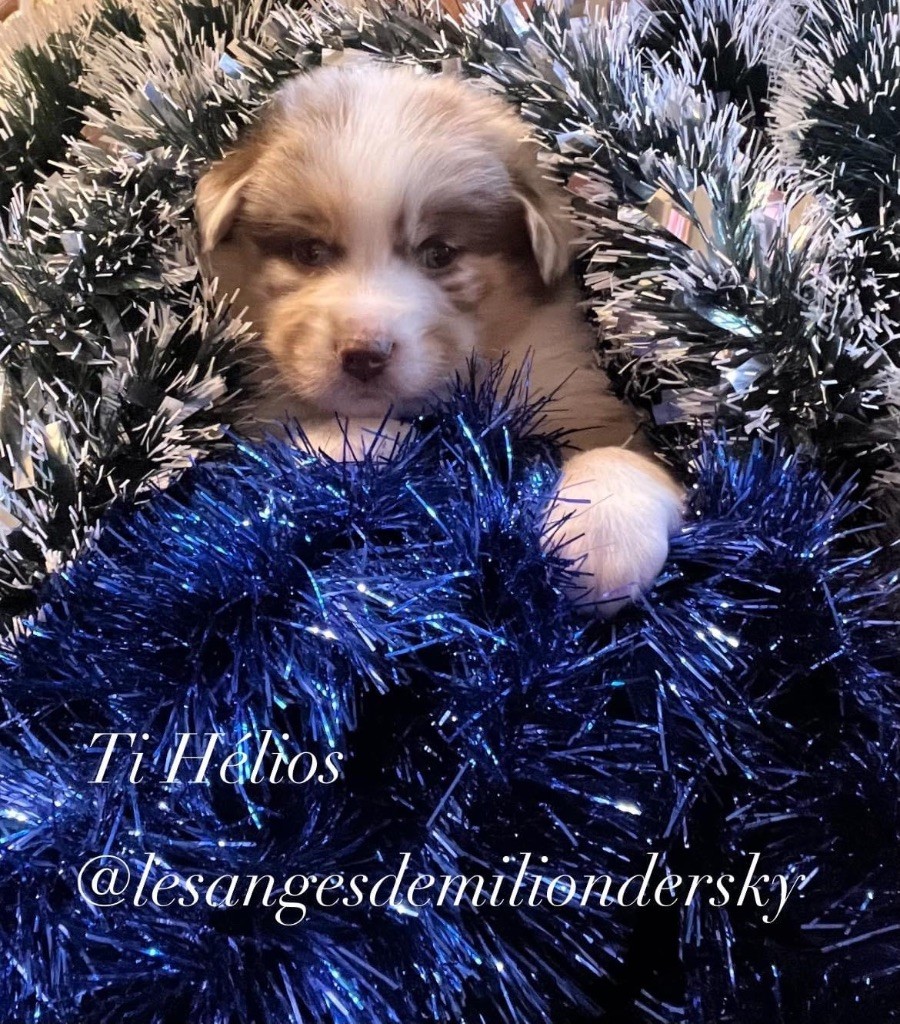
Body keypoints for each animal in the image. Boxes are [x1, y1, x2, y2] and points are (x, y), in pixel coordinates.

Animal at [195, 62, 683, 615]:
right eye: (308, 251)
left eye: (439, 254)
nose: (365, 354)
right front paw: (359, 438)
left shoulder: (577, 390)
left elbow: (619, 452)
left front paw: (599, 537)